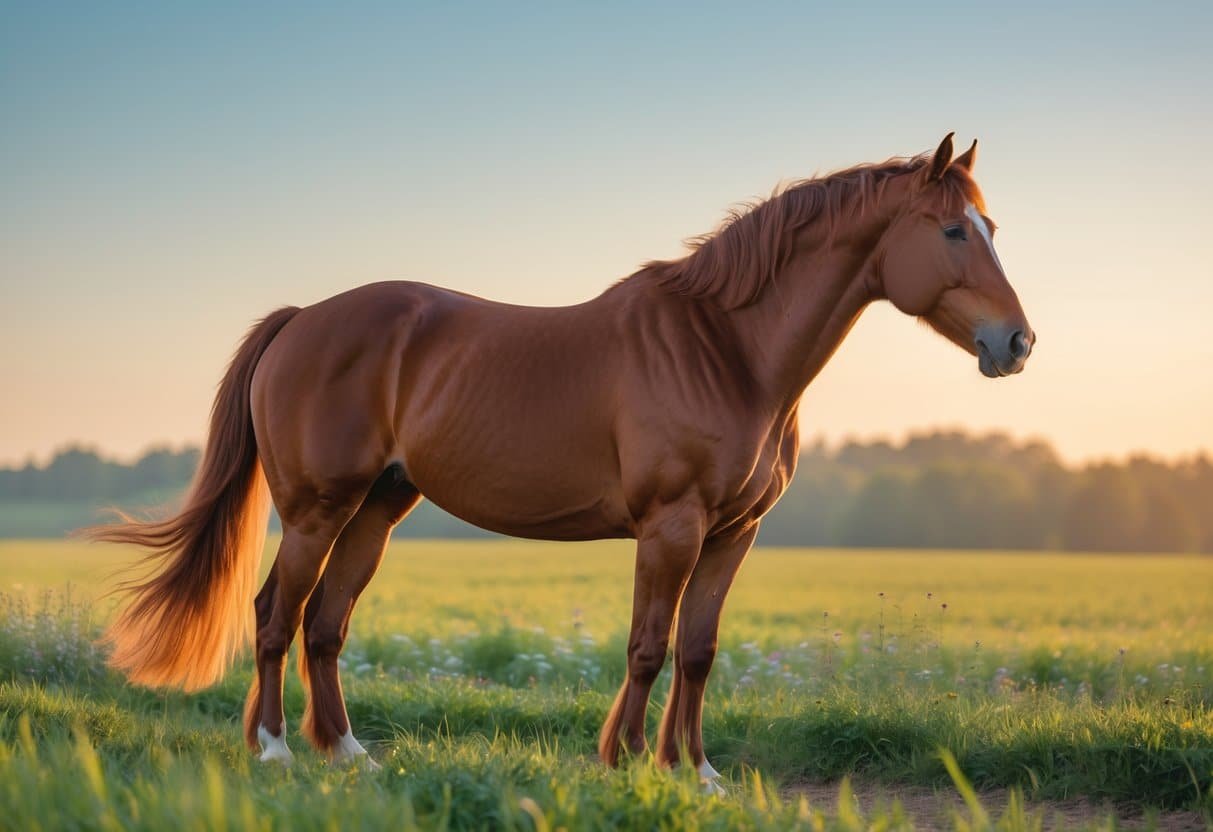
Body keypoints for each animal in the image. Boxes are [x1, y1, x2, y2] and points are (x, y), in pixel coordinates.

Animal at [86, 133, 1034, 786]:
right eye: (953, 231)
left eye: (991, 226)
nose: (1016, 343)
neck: (727, 350)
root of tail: (301, 319)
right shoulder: (671, 527)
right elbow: (648, 646)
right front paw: (626, 759)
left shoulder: (733, 534)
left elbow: (698, 650)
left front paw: (696, 771)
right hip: (319, 508)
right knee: (276, 615)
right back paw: (276, 751)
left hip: (377, 509)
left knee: (325, 624)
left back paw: (349, 754)